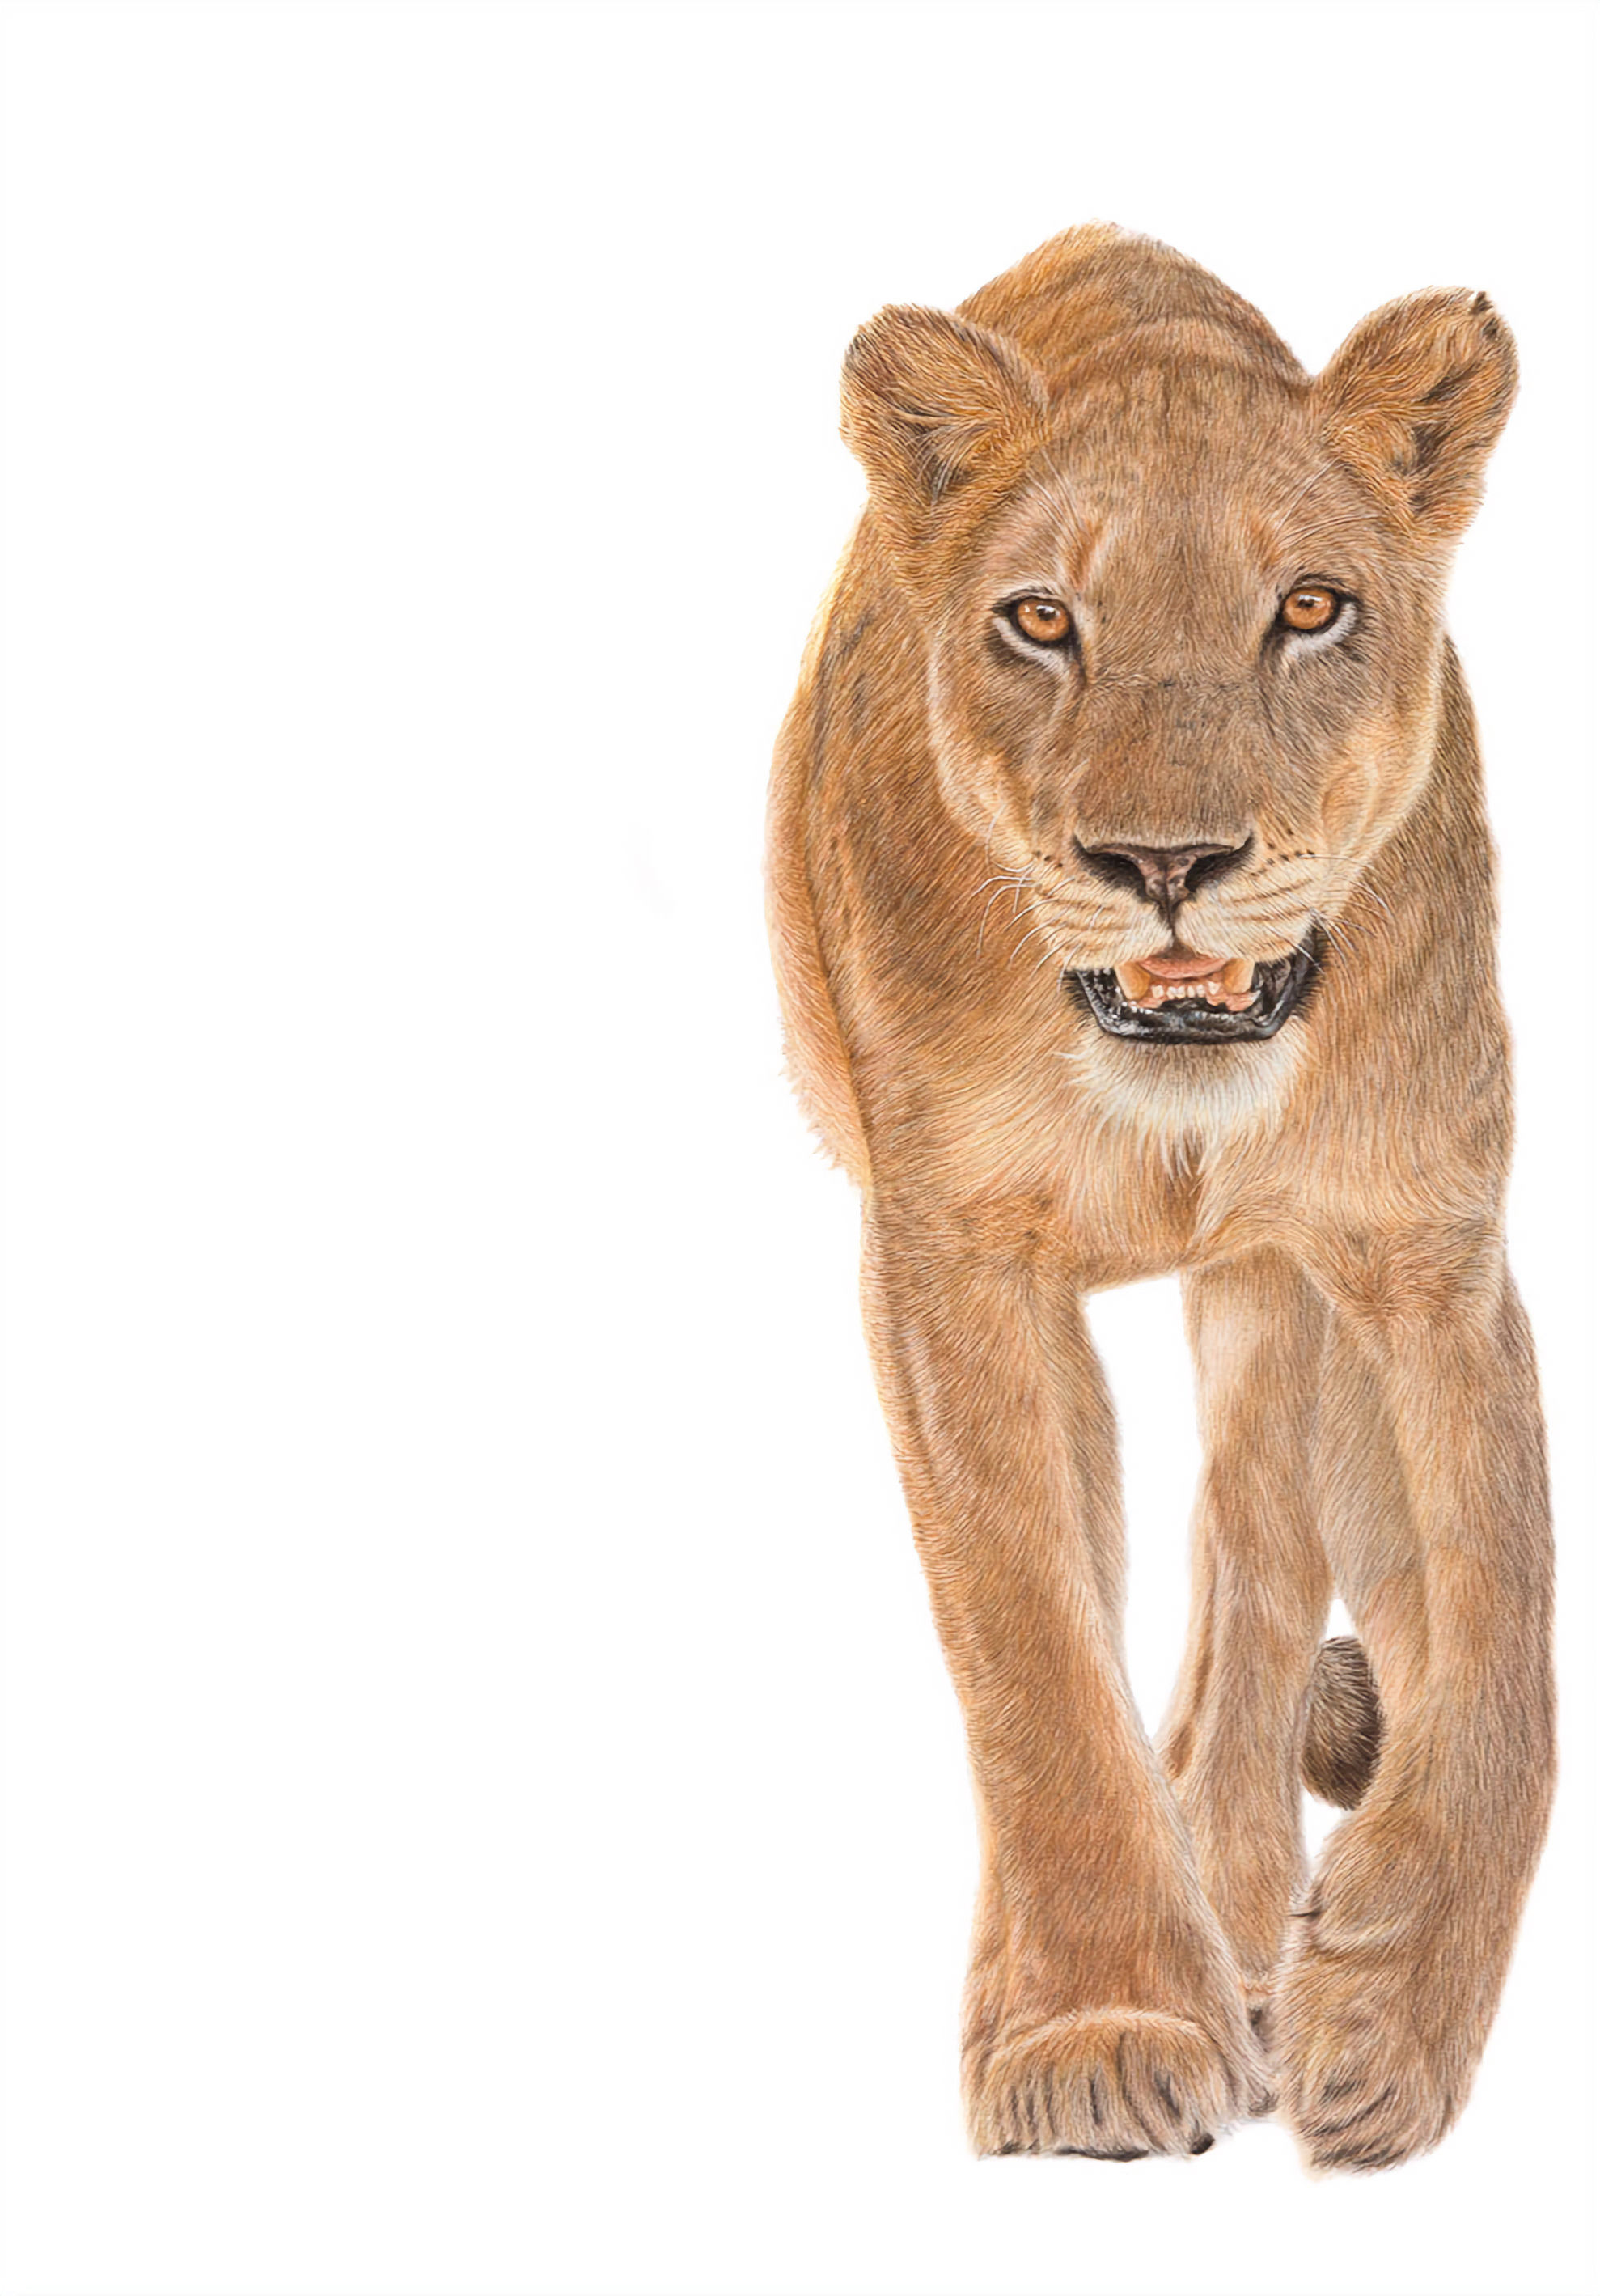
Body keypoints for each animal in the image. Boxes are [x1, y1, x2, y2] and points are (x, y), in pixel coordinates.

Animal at [765, 225, 1552, 2171]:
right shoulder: (948, 1257)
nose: (1164, 863)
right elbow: (1026, 1636)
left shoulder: (1425, 1245)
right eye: (1042, 619)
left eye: (1309, 610)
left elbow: (1505, 1644)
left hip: (1271, 1300)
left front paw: (1386, 2012)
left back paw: (1255, 1922)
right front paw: (1095, 2027)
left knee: (1257, 1571)